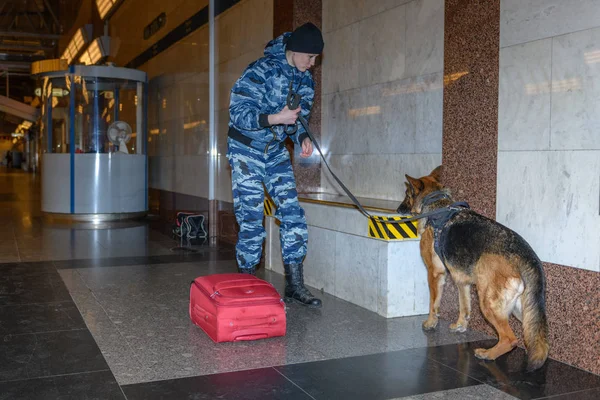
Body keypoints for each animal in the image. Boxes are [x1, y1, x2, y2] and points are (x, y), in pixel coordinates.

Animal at [398, 166, 548, 372]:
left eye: (407, 194)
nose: (397, 209)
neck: (437, 203)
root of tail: (527, 256)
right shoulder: (462, 281)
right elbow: (464, 307)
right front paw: (460, 325)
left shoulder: (435, 273)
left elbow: (433, 303)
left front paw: (431, 323)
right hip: (522, 310)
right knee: (537, 338)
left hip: (488, 303)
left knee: (510, 339)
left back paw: (488, 354)